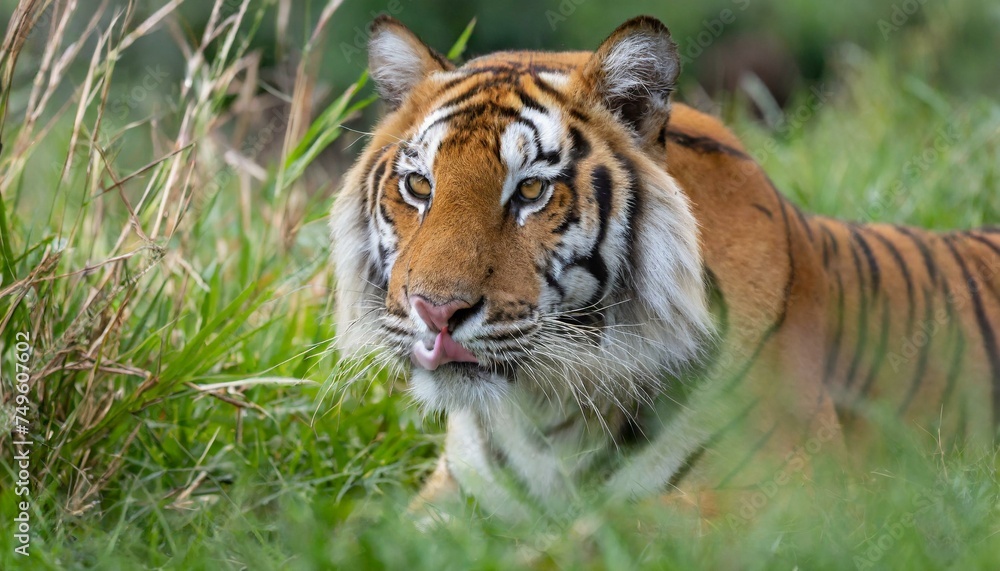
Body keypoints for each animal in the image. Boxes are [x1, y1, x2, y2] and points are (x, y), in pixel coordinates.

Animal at [330, 15, 999, 520]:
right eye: (420, 186)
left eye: (531, 191)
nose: (436, 312)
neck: (546, 415)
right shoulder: (450, 500)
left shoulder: (791, 495)